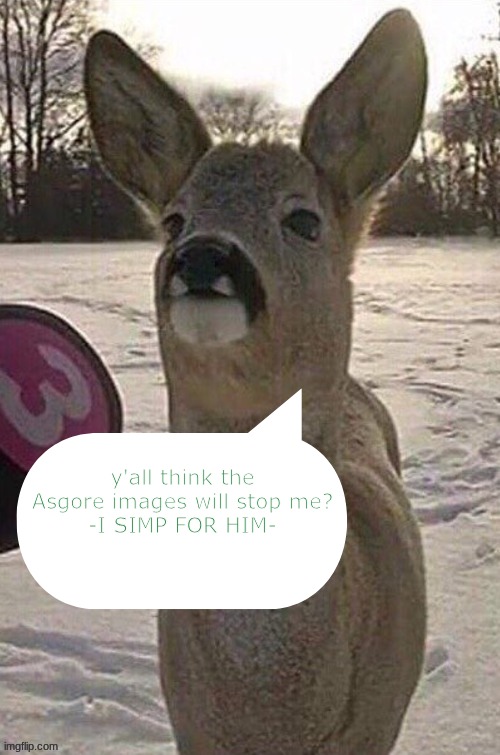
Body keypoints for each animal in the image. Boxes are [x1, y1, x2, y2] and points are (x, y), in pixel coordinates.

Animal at [84, 8, 427, 754]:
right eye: (174, 219)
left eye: (303, 219)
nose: (202, 255)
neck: (271, 717)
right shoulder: (188, 724)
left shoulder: (380, 723)